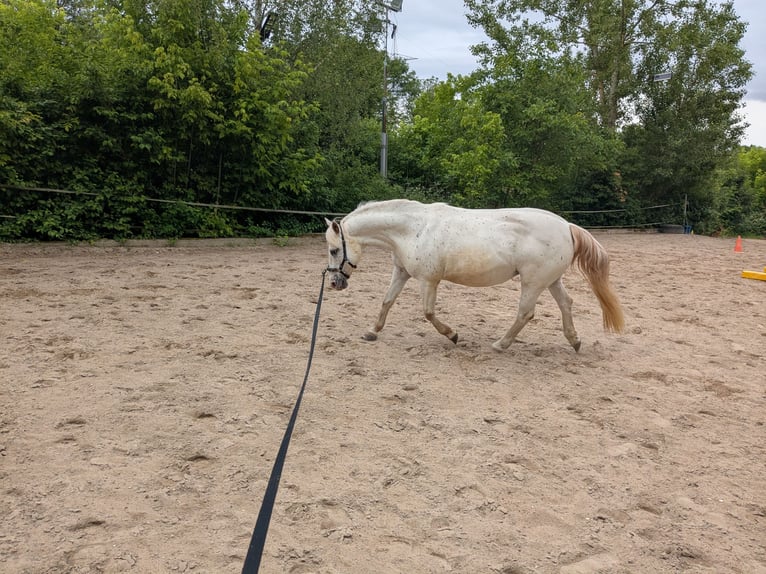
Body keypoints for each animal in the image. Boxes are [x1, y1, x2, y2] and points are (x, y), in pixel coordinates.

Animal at [324, 199, 624, 352]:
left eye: (333, 249)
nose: (335, 283)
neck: (412, 229)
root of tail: (566, 226)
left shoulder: (428, 280)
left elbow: (428, 313)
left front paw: (453, 335)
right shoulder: (402, 273)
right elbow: (386, 302)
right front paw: (371, 332)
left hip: (532, 282)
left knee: (525, 313)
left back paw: (500, 345)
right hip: (549, 281)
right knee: (566, 304)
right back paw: (574, 341)